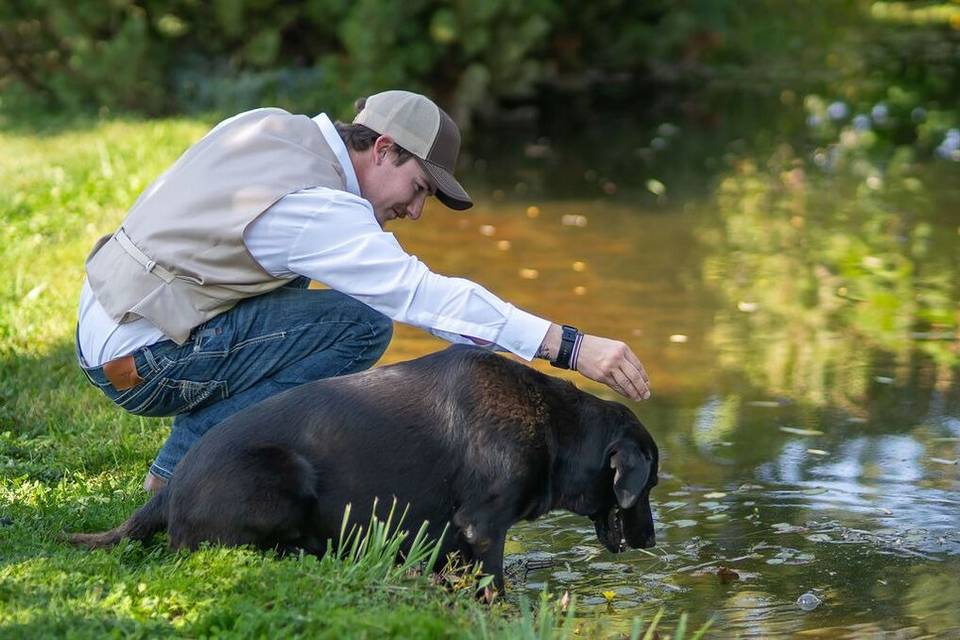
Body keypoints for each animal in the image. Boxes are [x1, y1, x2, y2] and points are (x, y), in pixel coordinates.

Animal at [71, 348, 656, 588]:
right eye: (649, 484)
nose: (651, 542)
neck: (558, 427)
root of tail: (167, 494)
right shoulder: (484, 525)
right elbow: (494, 583)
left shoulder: (454, 537)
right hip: (282, 476)